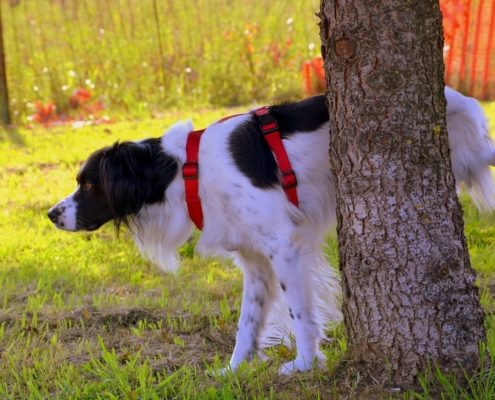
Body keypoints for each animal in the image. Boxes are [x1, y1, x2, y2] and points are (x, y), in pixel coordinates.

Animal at [47, 86, 495, 372]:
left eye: (89, 185)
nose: (51, 214)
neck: (187, 171)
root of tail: (453, 94)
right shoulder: (255, 261)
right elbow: (247, 324)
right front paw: (233, 371)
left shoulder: (284, 246)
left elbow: (300, 313)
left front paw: (305, 365)